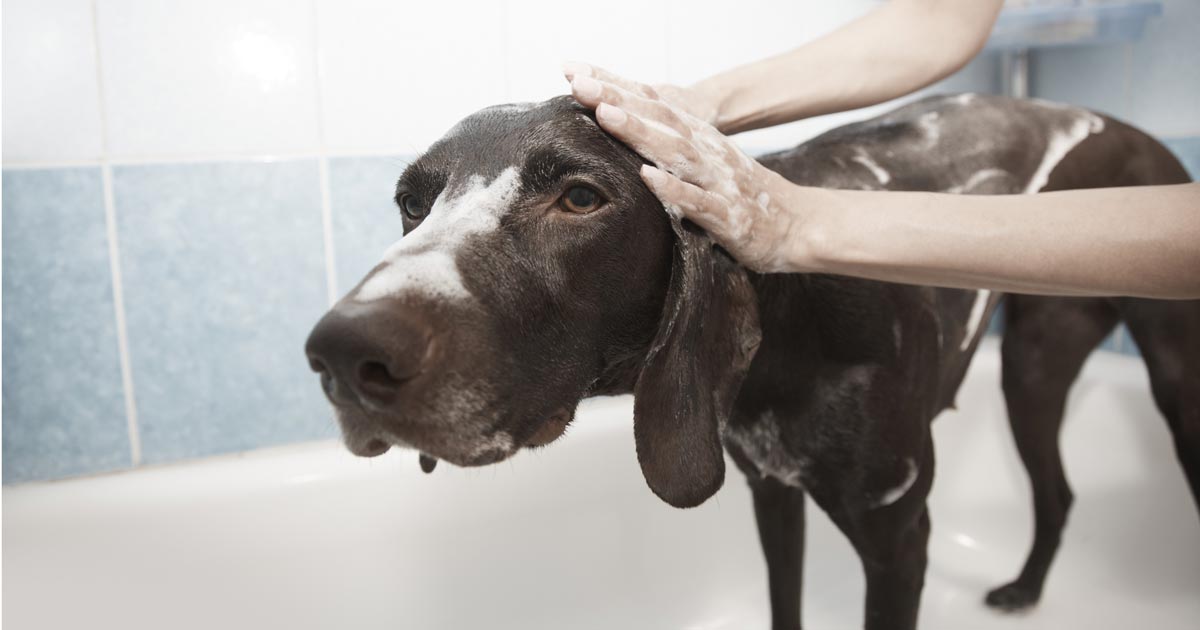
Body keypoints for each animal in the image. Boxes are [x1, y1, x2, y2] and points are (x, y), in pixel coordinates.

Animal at [304, 94, 1195, 628]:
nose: (342, 353)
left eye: (581, 198)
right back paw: (1029, 588)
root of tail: (1128, 127)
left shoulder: (899, 541)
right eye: (412, 203)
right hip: (1034, 370)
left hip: (1149, 380)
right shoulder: (772, 495)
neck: (792, 328)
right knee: (1058, 490)